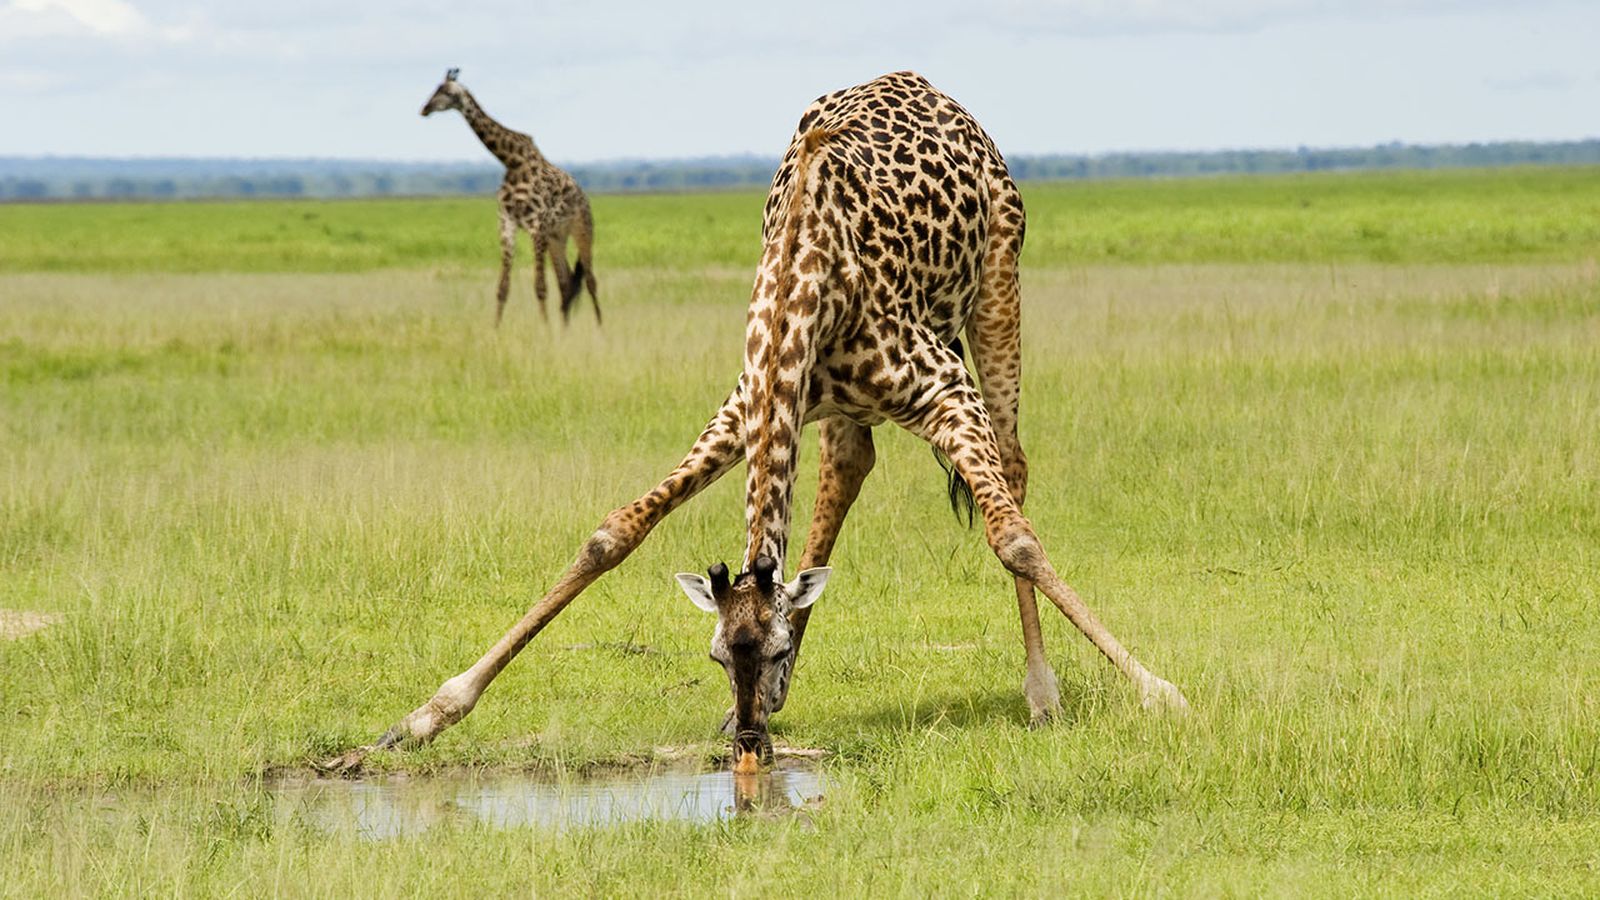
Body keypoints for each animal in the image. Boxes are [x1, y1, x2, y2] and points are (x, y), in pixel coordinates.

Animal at [421, 68, 599, 325]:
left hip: (582, 229)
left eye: (445, 91)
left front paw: (545, 330)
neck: (512, 160)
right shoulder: (507, 223)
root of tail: (584, 196)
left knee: (590, 280)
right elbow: (503, 288)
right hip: (557, 237)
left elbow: (540, 287)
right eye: (435, 89)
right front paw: (496, 329)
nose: (424, 109)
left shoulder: (536, 226)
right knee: (566, 283)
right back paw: (566, 329)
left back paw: (600, 329)